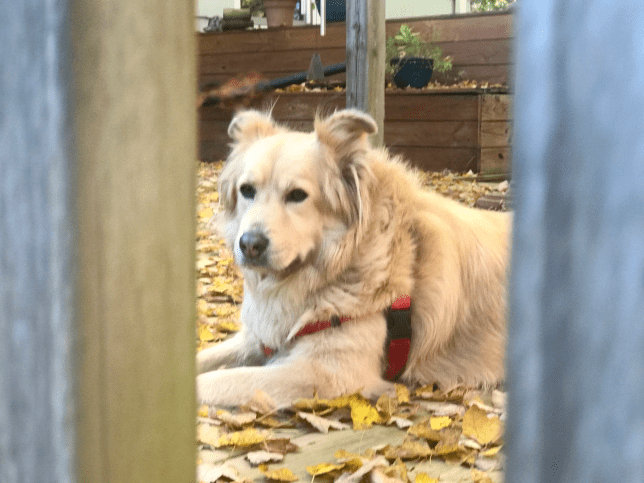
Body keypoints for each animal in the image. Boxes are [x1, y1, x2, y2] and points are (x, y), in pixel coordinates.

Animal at [197, 109, 511, 408]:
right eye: (247, 190)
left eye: (297, 195)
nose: (249, 245)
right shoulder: (258, 338)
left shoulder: (325, 372)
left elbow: (222, 380)